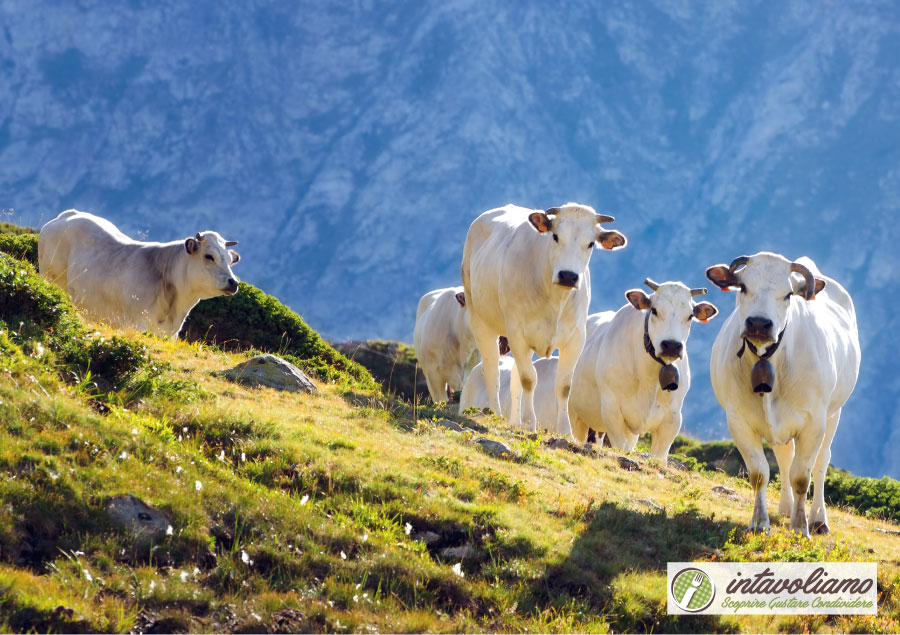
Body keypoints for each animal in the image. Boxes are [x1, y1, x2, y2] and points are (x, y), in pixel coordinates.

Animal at [39, 210, 239, 340]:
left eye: (230, 260)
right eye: (209, 256)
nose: (233, 282)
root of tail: (67, 215)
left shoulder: (171, 335)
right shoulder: (138, 324)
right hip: (51, 279)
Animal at [460, 204, 624, 438]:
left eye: (591, 243)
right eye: (555, 236)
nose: (568, 275)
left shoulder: (575, 338)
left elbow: (563, 386)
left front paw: (565, 431)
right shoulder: (517, 332)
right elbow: (529, 379)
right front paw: (530, 423)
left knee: (514, 380)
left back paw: (514, 420)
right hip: (481, 319)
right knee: (492, 369)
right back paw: (496, 413)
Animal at [568, 280, 716, 460]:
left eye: (690, 316)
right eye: (654, 310)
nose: (671, 345)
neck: (649, 377)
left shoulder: (672, 418)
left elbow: (658, 458)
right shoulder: (611, 410)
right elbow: (622, 447)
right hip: (575, 414)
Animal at [708, 253, 860, 536]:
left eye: (789, 294)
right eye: (742, 286)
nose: (758, 323)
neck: (768, 358)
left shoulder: (814, 422)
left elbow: (802, 476)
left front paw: (801, 528)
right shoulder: (738, 420)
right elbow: (759, 473)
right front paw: (759, 522)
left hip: (834, 413)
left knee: (822, 461)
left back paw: (818, 519)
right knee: (785, 457)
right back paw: (786, 508)